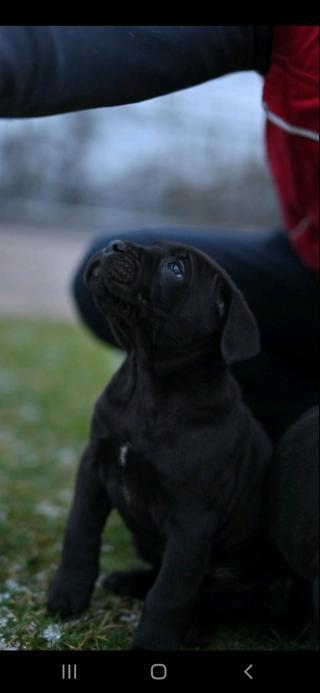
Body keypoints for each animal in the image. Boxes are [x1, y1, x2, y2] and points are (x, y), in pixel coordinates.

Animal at [47, 239, 272, 648]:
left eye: (176, 270)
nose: (115, 244)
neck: (146, 385)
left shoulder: (192, 520)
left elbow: (171, 592)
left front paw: (152, 642)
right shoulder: (94, 466)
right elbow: (80, 532)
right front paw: (67, 595)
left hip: (238, 572)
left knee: (214, 598)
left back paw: (196, 626)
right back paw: (127, 580)